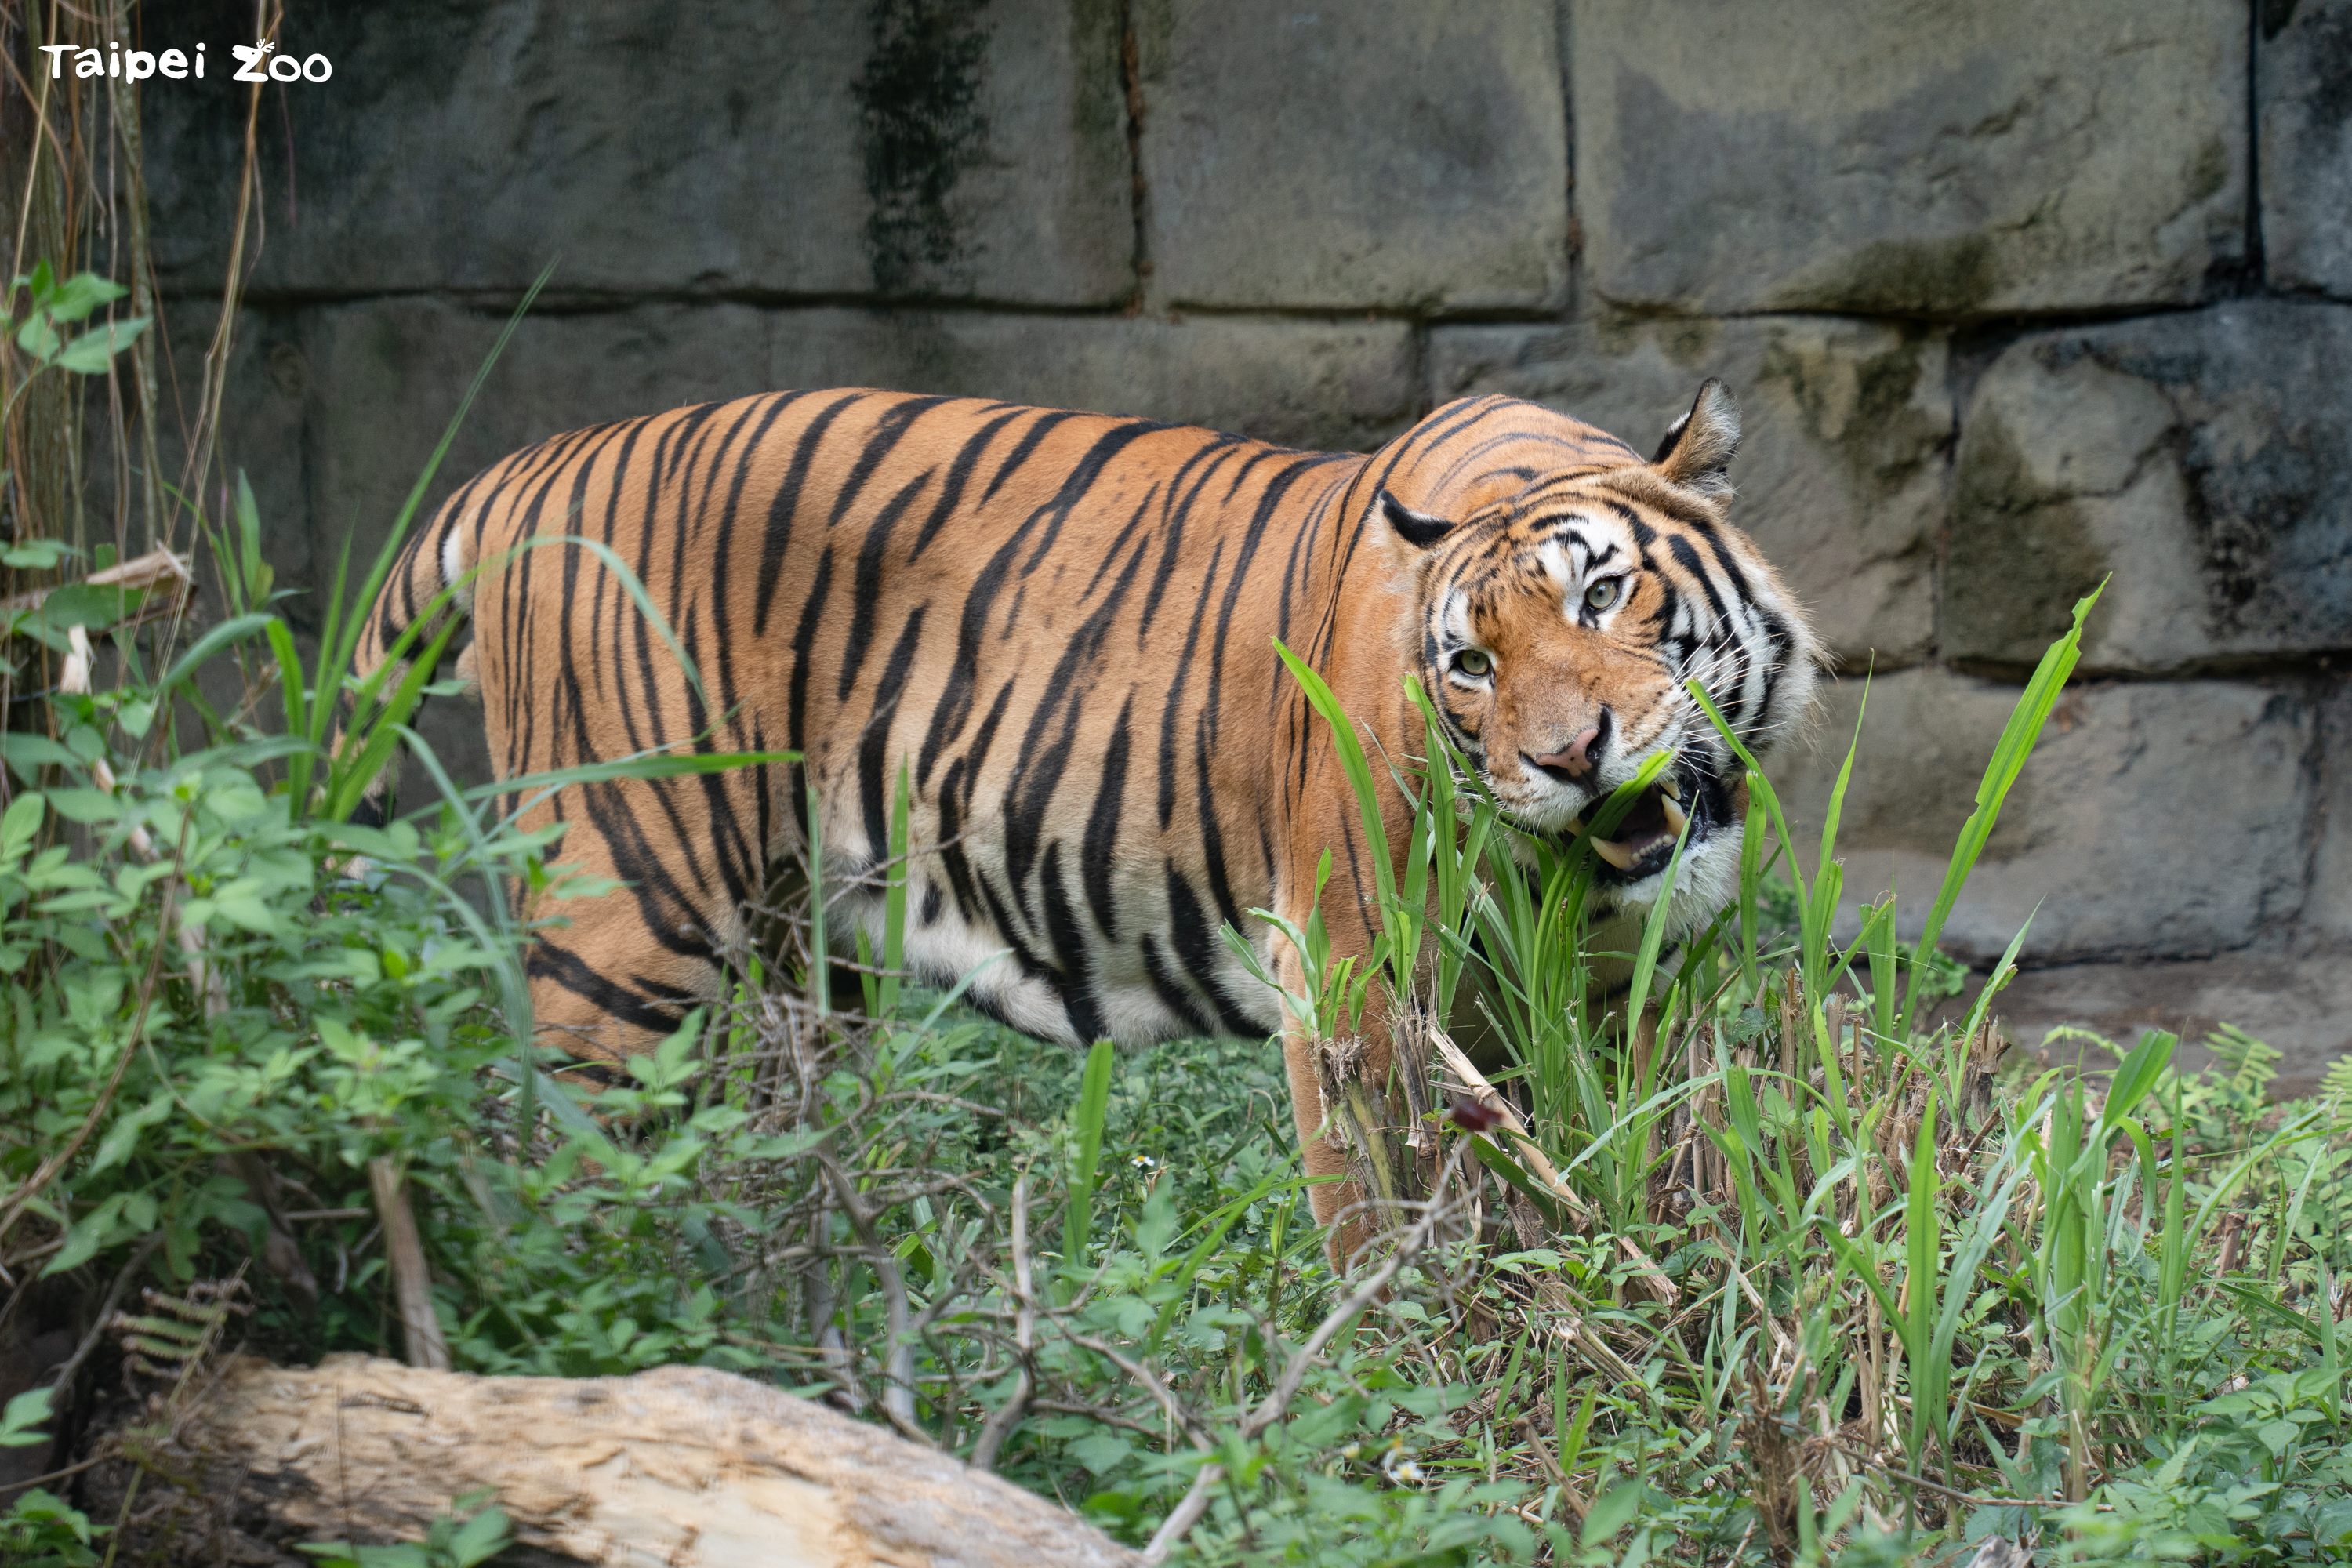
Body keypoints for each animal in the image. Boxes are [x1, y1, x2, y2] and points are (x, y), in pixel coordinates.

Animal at [346, 380, 1820, 1242]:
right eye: (1473, 664)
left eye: (1603, 595)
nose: (1571, 758)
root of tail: (535, 468)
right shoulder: (1351, 979)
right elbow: (1385, 1221)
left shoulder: (1636, 991)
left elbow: (1644, 1157)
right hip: (628, 922)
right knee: (558, 1158)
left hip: (791, 971)